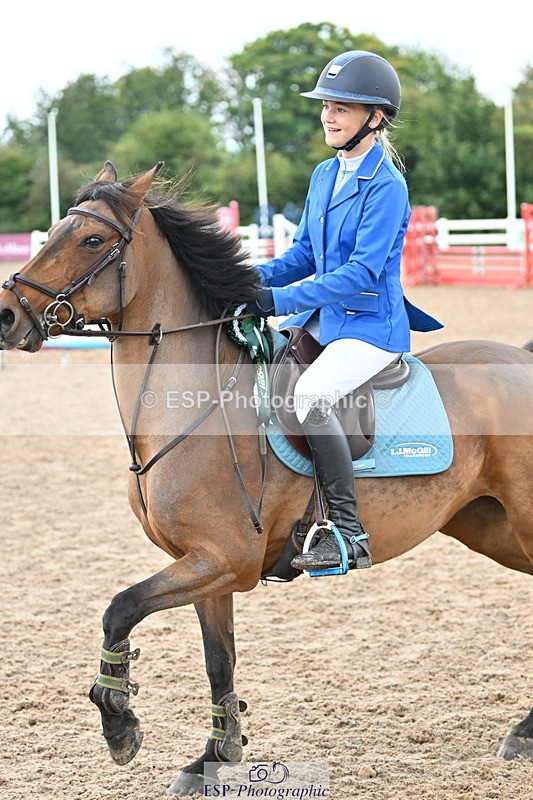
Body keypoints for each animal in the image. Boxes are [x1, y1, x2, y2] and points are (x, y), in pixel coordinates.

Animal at [0, 161, 532, 796]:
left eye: (91, 239)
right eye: (56, 230)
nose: (7, 315)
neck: (191, 401)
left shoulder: (226, 560)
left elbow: (120, 608)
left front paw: (119, 724)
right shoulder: (205, 566)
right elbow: (218, 661)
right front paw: (213, 756)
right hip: (491, 527)